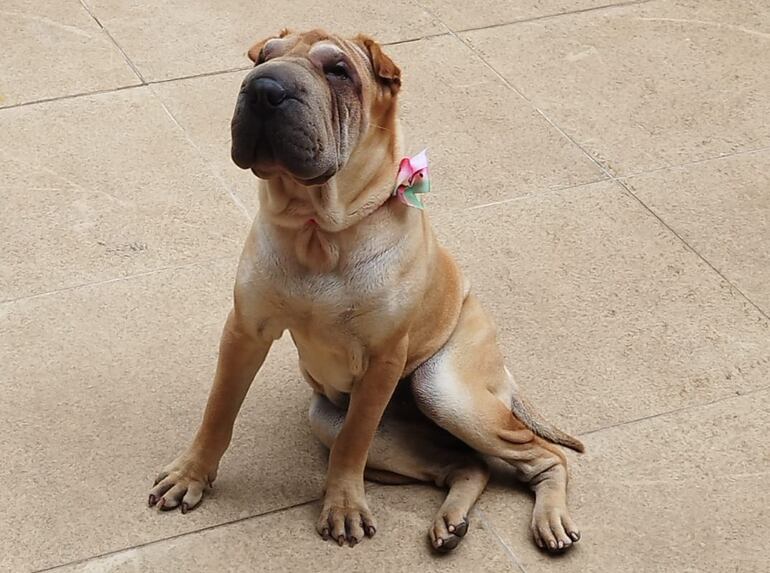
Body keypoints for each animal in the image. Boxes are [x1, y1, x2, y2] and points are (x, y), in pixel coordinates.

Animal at [148, 27, 584, 556]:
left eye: (339, 71)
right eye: (263, 58)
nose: (264, 88)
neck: (318, 229)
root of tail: (504, 371)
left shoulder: (383, 359)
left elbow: (353, 443)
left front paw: (343, 506)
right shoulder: (245, 330)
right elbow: (218, 409)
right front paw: (191, 474)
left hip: (443, 389)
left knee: (545, 455)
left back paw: (551, 519)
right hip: (338, 420)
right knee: (469, 464)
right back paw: (451, 522)